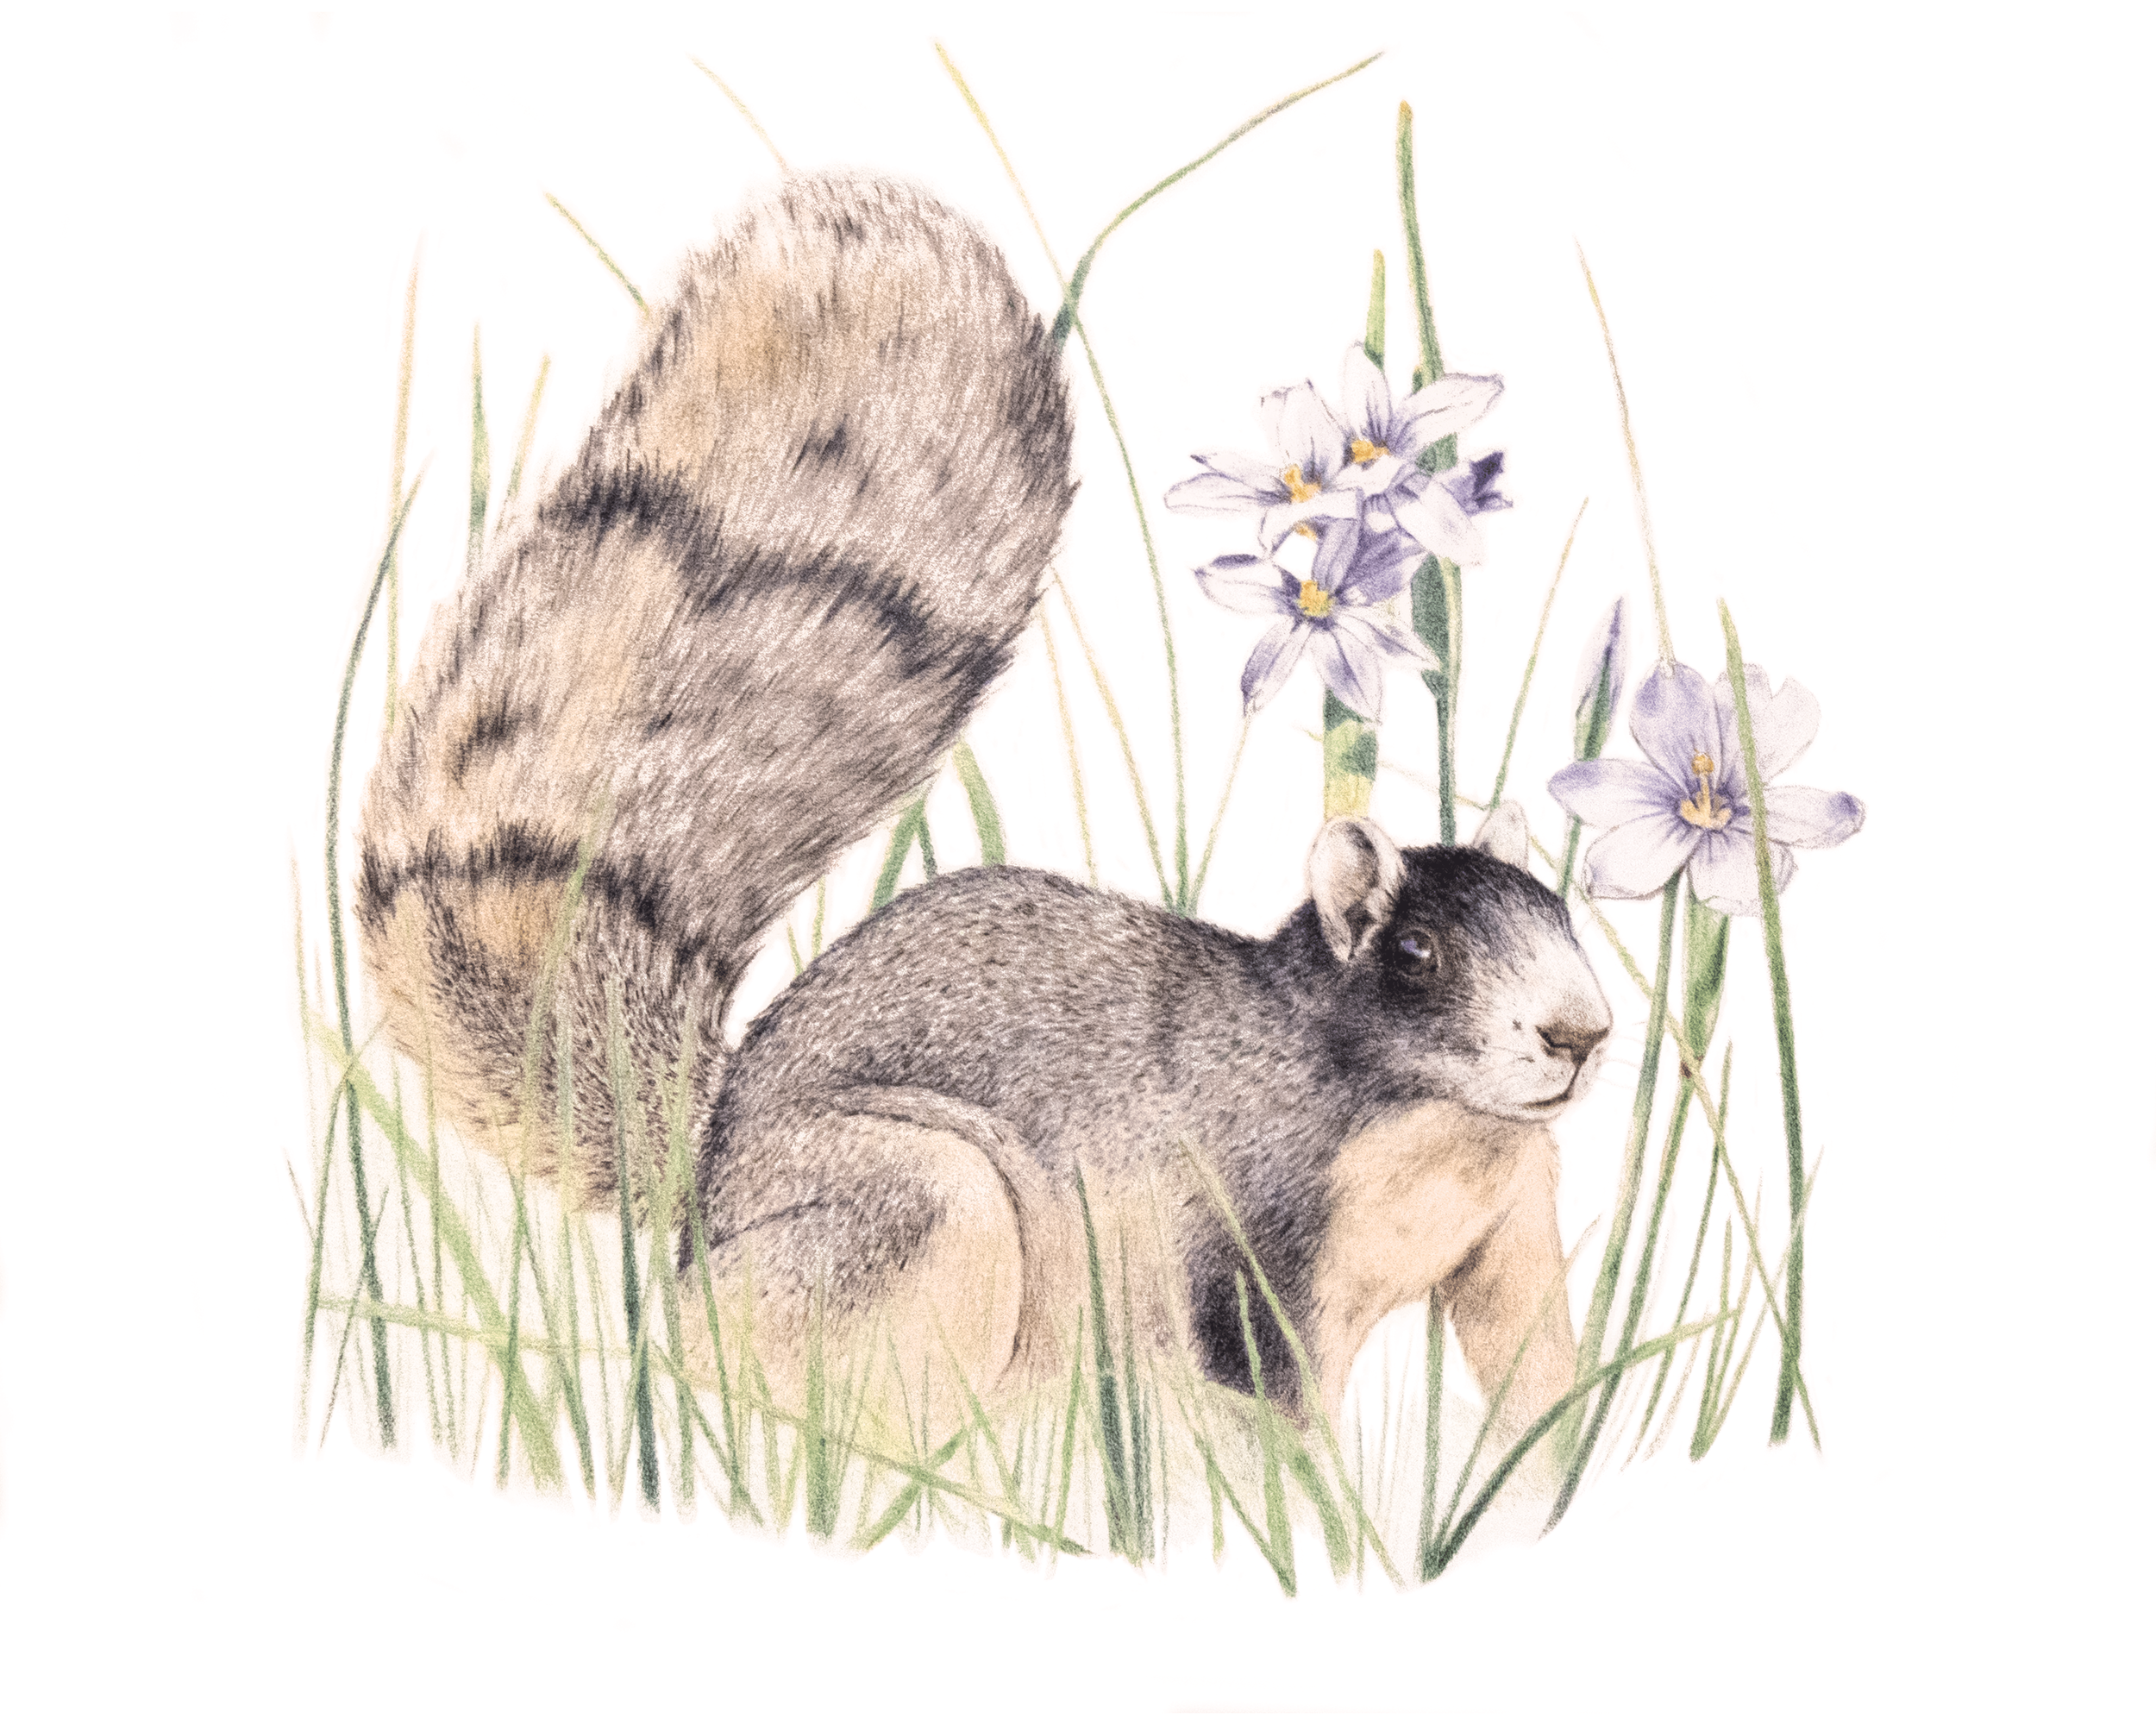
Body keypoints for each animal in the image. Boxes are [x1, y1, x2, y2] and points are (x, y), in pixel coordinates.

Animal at [356, 172, 1613, 1435]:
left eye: (1566, 915)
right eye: (1414, 950)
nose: (1582, 1033)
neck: (1447, 1132)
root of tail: (706, 1178)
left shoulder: (1516, 1226)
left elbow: (1537, 1378)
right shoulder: (1256, 1247)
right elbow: (1277, 1425)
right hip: (929, 1206)